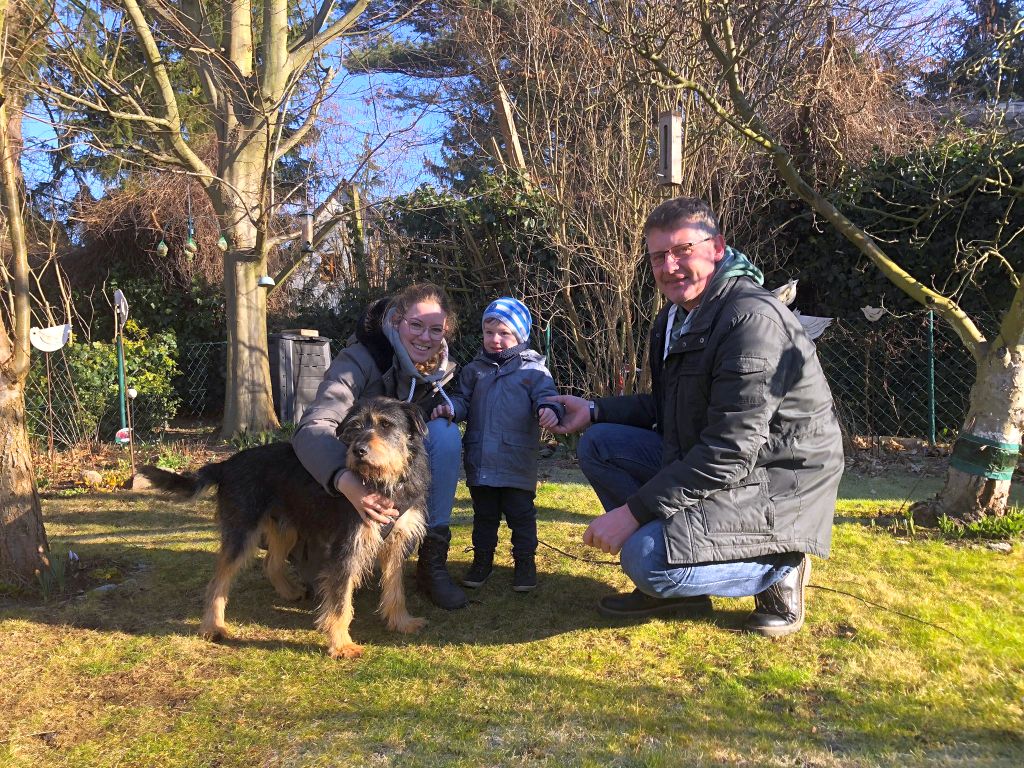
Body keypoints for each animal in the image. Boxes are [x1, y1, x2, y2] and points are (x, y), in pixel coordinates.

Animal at [139, 397, 430, 659]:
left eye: (386, 425)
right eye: (354, 428)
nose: (358, 450)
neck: (385, 483)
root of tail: (226, 464)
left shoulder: (397, 543)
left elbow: (396, 588)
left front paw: (402, 622)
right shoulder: (346, 549)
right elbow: (340, 603)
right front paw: (341, 645)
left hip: (284, 528)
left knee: (271, 562)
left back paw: (289, 591)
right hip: (241, 532)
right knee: (217, 582)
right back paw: (213, 627)